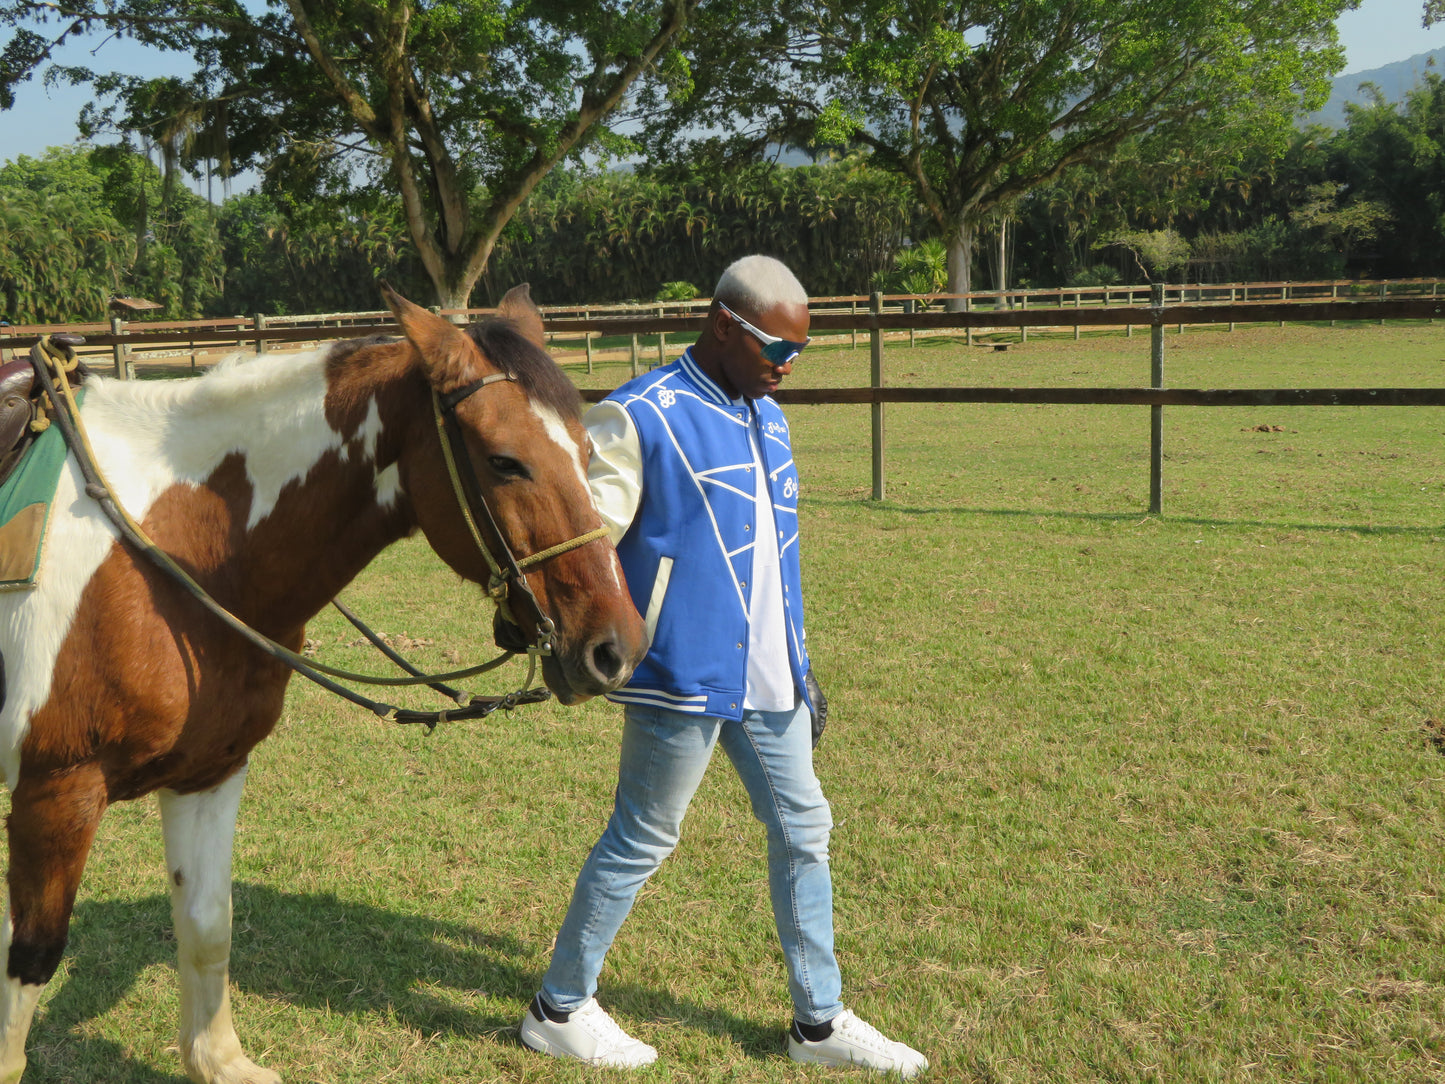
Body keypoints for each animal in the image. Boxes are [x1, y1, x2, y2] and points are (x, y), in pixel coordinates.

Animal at [0, 284, 647, 1081]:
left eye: (589, 452)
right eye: (504, 461)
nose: (616, 648)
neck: (170, 547)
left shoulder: (210, 772)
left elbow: (208, 923)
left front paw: (219, 1062)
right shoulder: (54, 793)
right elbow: (32, 957)